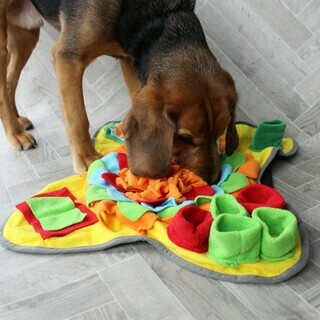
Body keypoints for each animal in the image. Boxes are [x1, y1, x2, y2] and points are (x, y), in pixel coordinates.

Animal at [0, 0, 238, 184]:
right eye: (186, 138)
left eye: (219, 132)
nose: (213, 180)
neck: (162, 15)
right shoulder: (68, 57)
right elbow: (77, 118)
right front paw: (87, 159)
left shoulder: (129, 59)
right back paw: (15, 134)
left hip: (26, 32)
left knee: (10, 81)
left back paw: (18, 122)